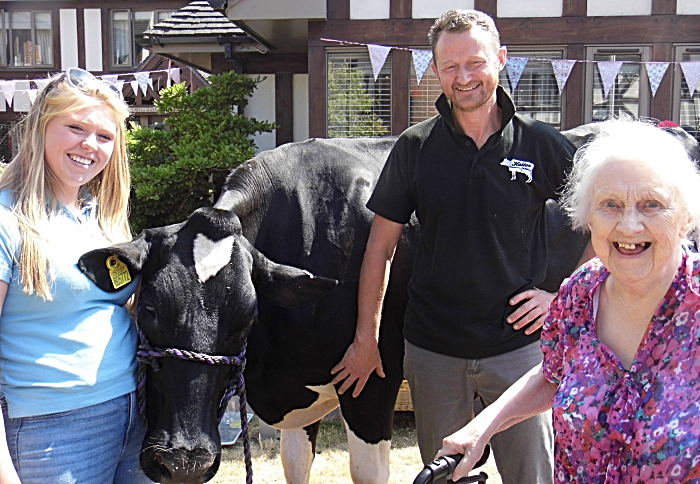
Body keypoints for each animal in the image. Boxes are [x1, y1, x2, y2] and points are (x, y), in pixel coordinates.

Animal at [79, 125, 696, 484]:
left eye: (245, 318)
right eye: (147, 308)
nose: (182, 459)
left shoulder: (372, 383)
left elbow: (365, 470)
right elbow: (296, 466)